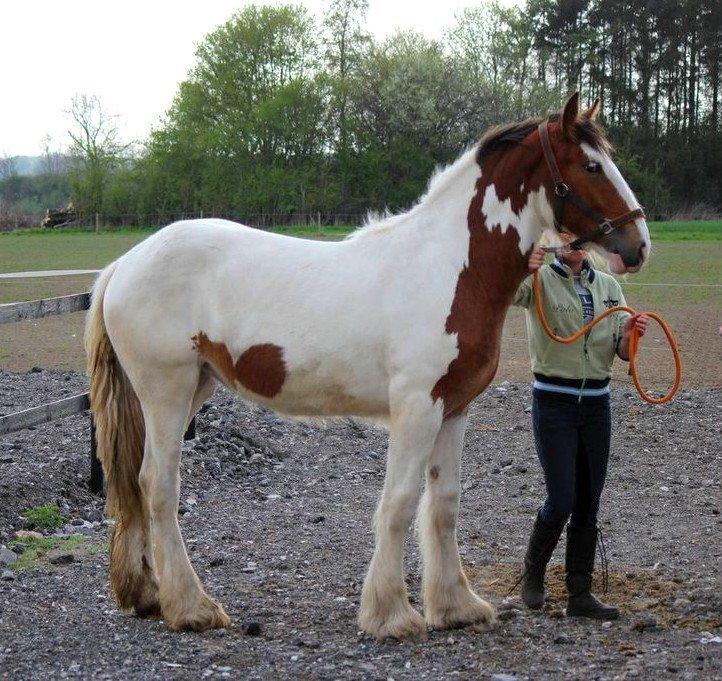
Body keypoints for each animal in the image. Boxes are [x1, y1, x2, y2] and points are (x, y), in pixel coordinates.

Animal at [83, 93, 648, 640]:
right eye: (591, 166)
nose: (638, 245)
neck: (447, 267)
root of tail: (124, 264)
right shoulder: (417, 409)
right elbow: (398, 504)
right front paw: (391, 615)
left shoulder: (453, 409)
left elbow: (444, 505)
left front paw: (456, 606)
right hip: (167, 393)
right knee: (158, 487)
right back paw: (191, 607)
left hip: (195, 387)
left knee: (137, 486)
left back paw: (148, 595)